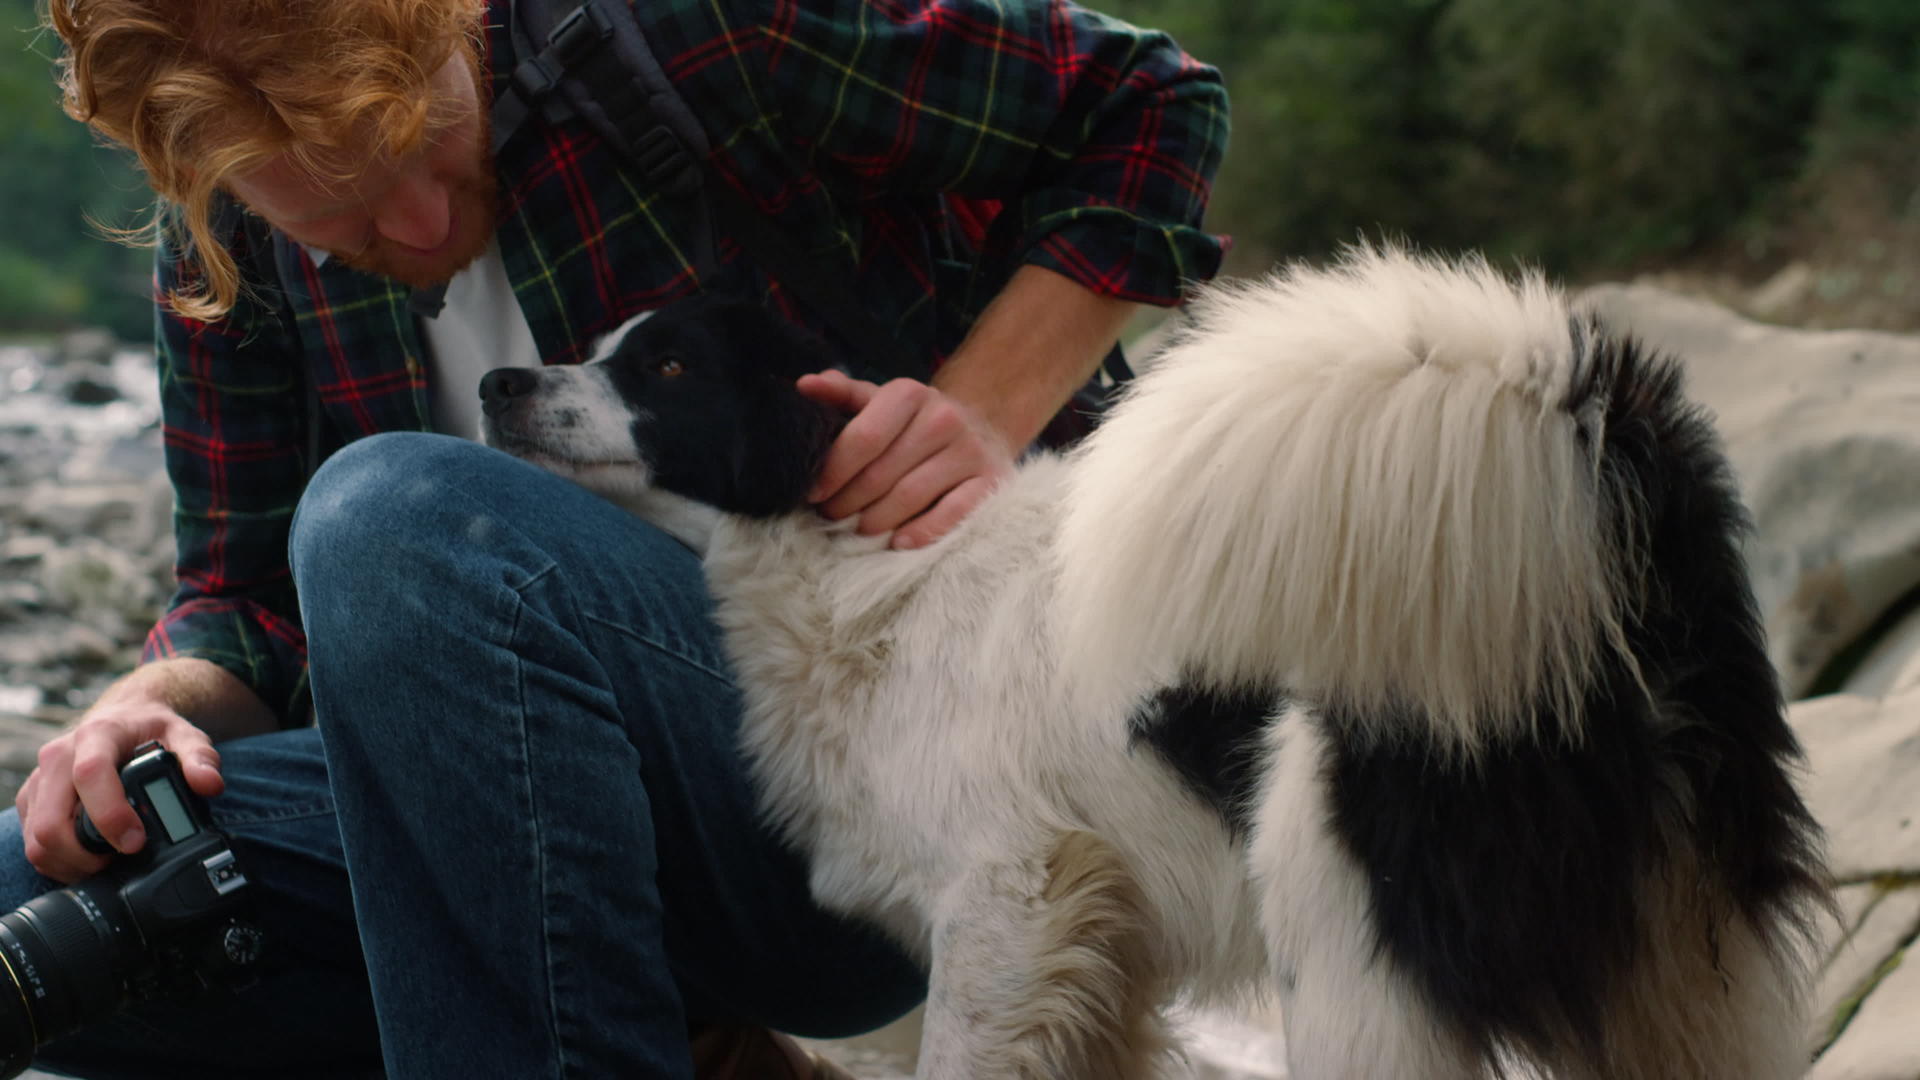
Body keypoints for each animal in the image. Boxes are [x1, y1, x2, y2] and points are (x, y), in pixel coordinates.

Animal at [480, 247, 1827, 1068]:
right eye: (594, 343)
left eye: (665, 366)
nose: (494, 381)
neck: (863, 565)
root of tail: (1608, 517)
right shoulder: (1094, 958)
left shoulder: (1004, 901)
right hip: (1694, 981)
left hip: (1350, 962)